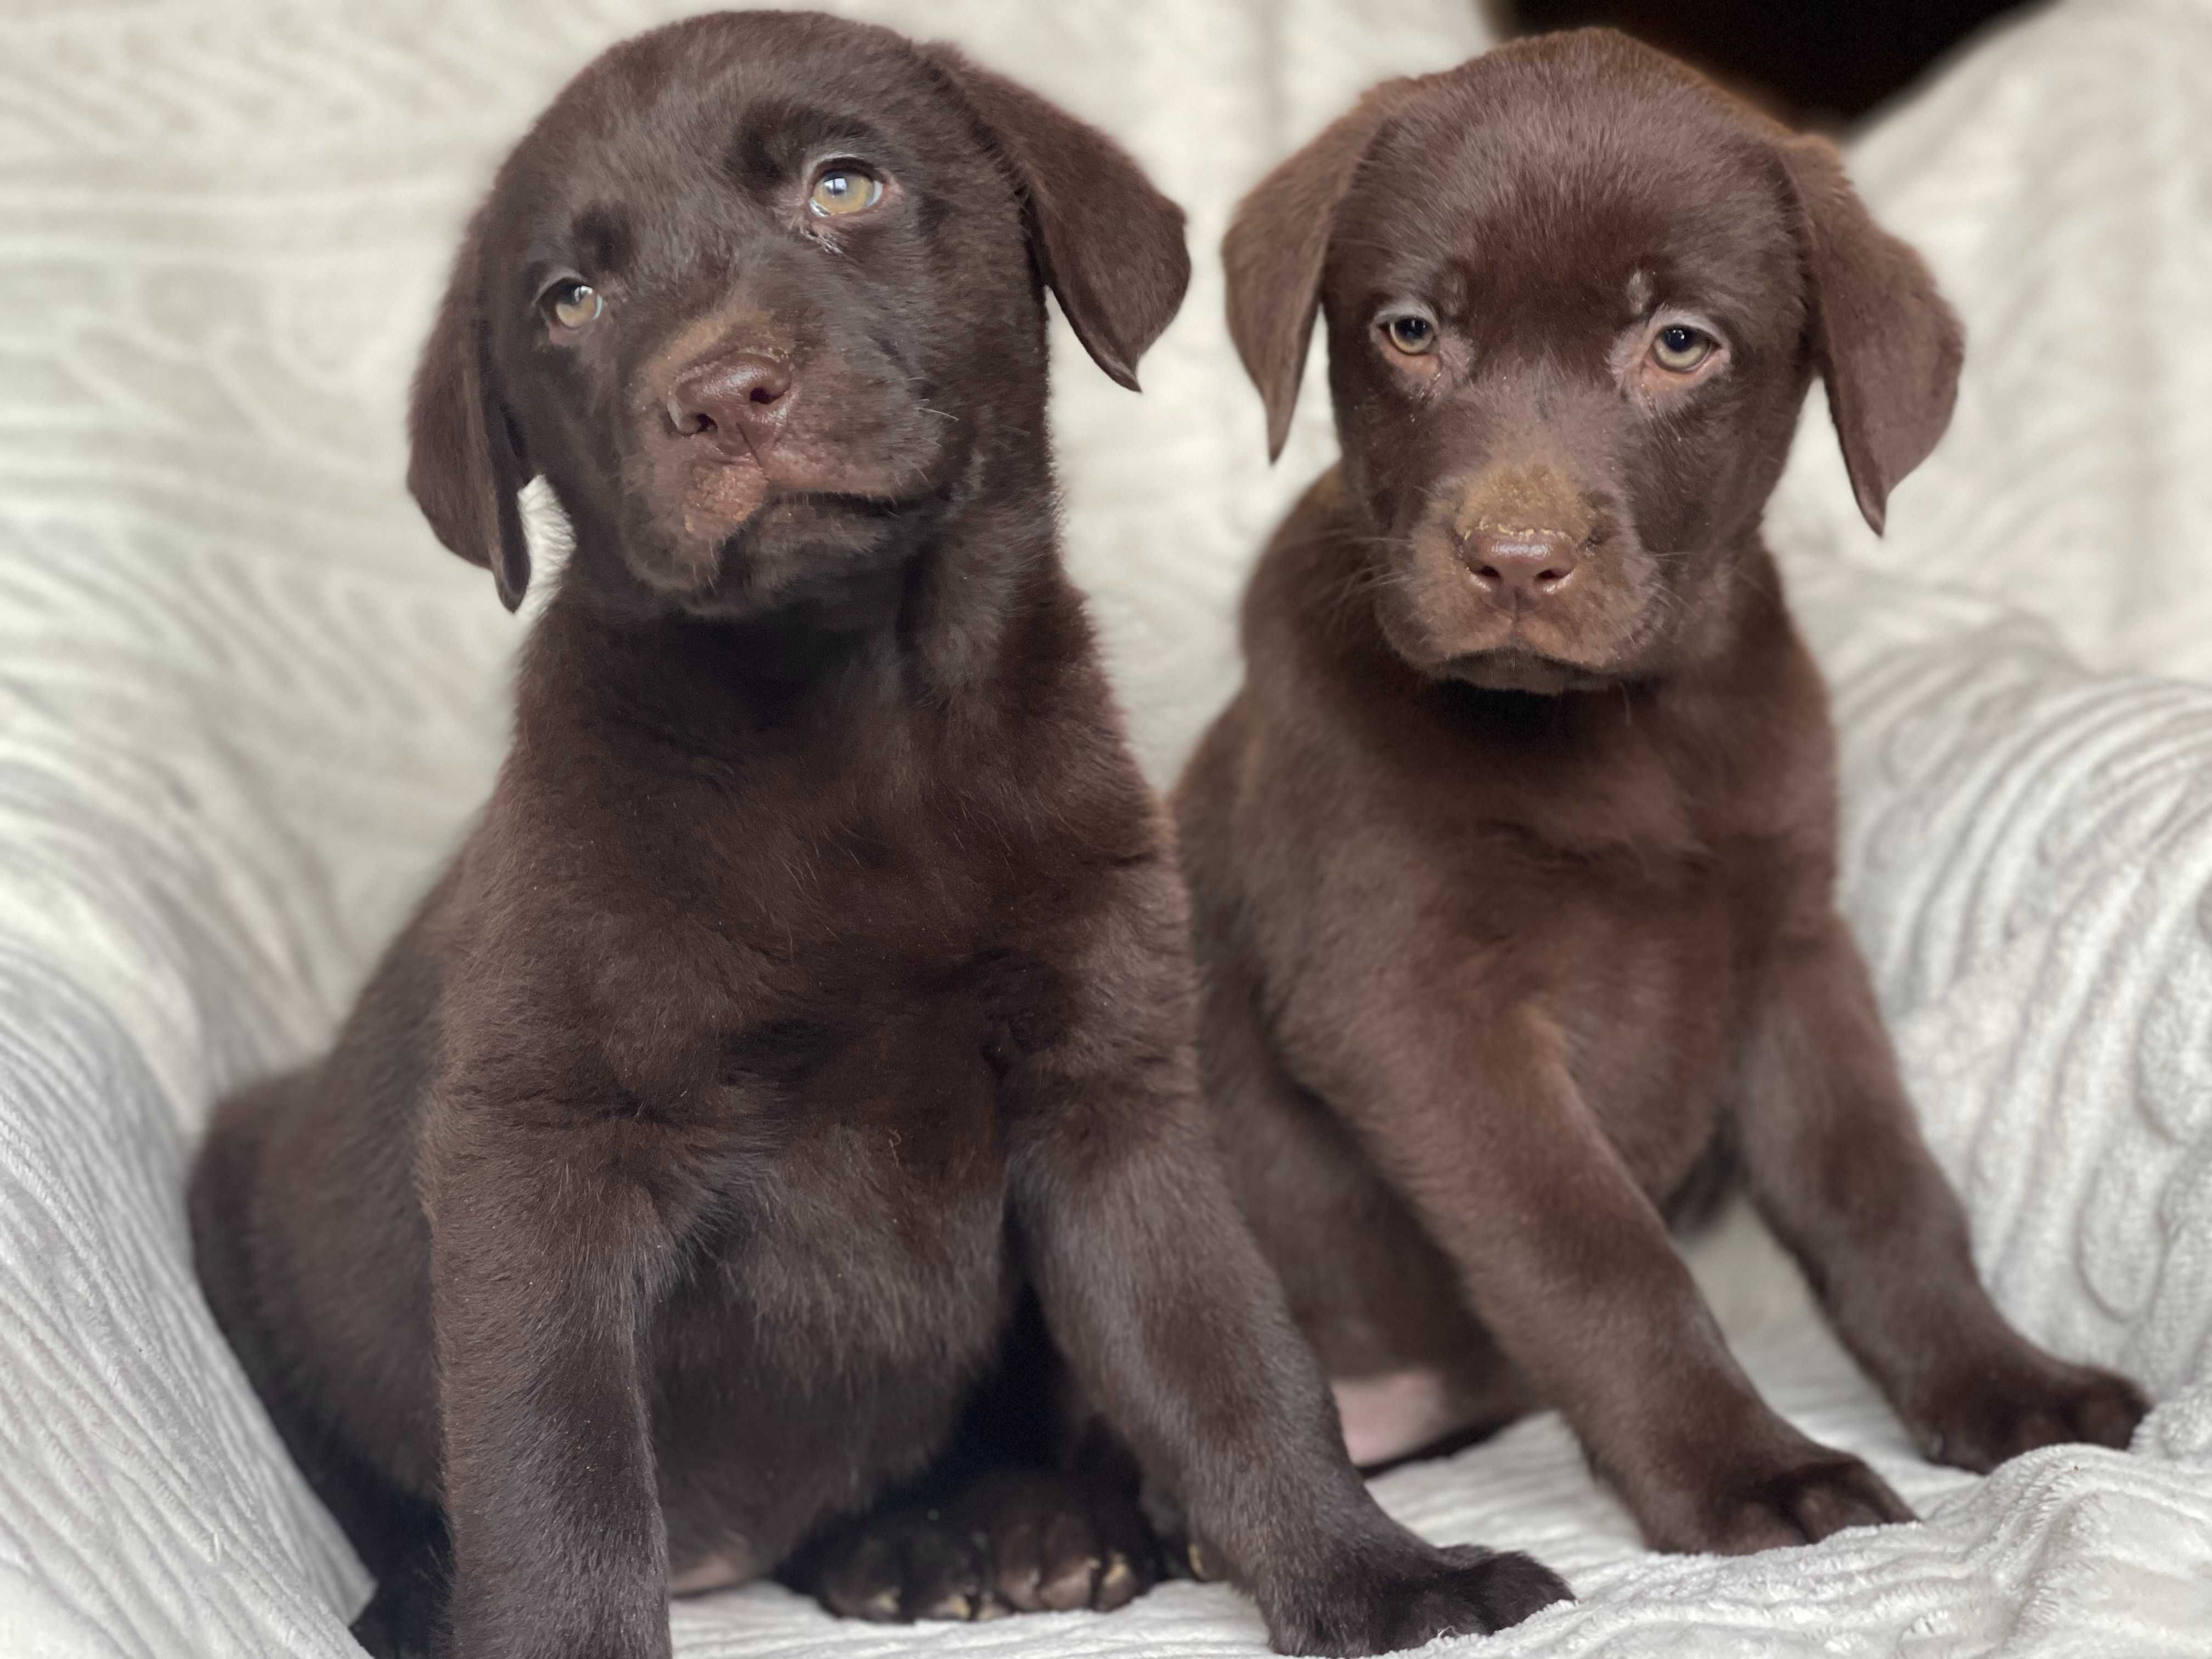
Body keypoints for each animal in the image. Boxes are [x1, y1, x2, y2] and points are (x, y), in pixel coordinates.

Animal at [190, 13, 1575, 1659]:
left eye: (845, 185)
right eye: (569, 300)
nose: (719, 394)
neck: (858, 723)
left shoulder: (1110, 1096)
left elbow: (1233, 1359)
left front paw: (1373, 1576)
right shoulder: (538, 1150)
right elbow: (553, 1466)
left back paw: (984, 1537)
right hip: (240, 1181)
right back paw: (426, 1594)